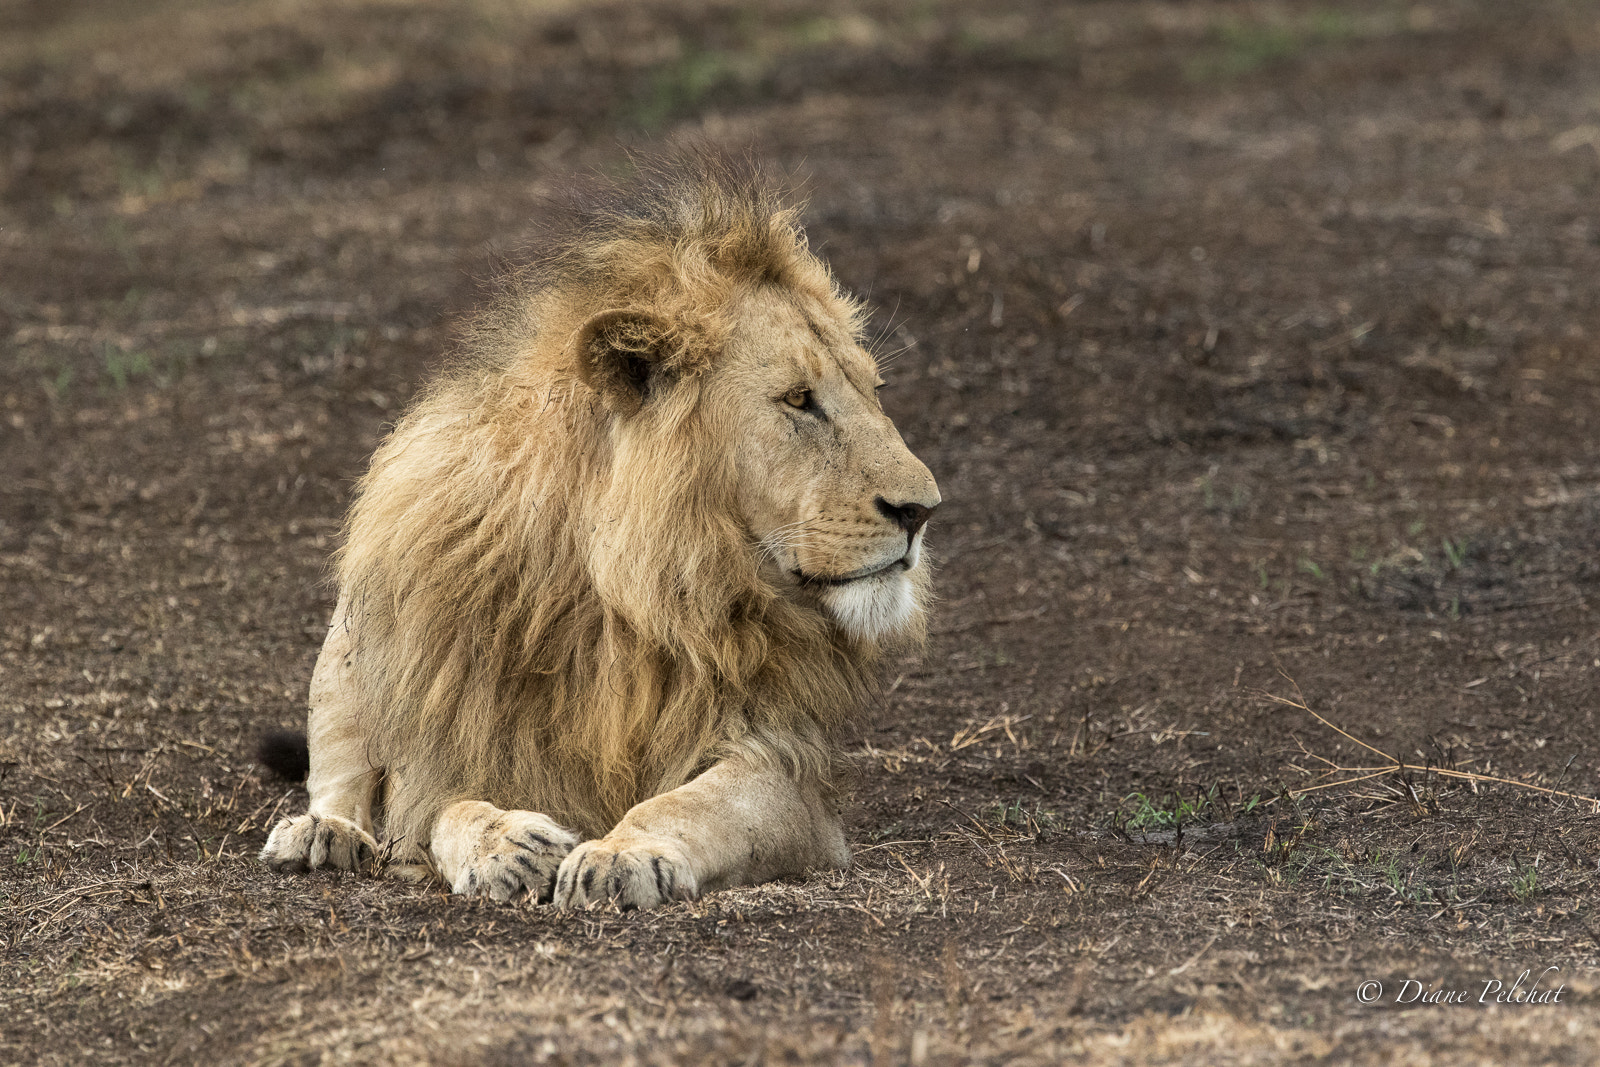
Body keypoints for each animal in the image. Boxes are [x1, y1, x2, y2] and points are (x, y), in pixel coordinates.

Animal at [256, 146, 940, 908]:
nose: (923, 510)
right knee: (338, 778)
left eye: (873, 392)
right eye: (799, 400)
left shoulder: (784, 764)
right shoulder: (442, 753)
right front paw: (509, 844)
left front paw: (621, 853)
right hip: (345, 646)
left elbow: (696, 804)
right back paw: (322, 836)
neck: (633, 593)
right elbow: (446, 810)